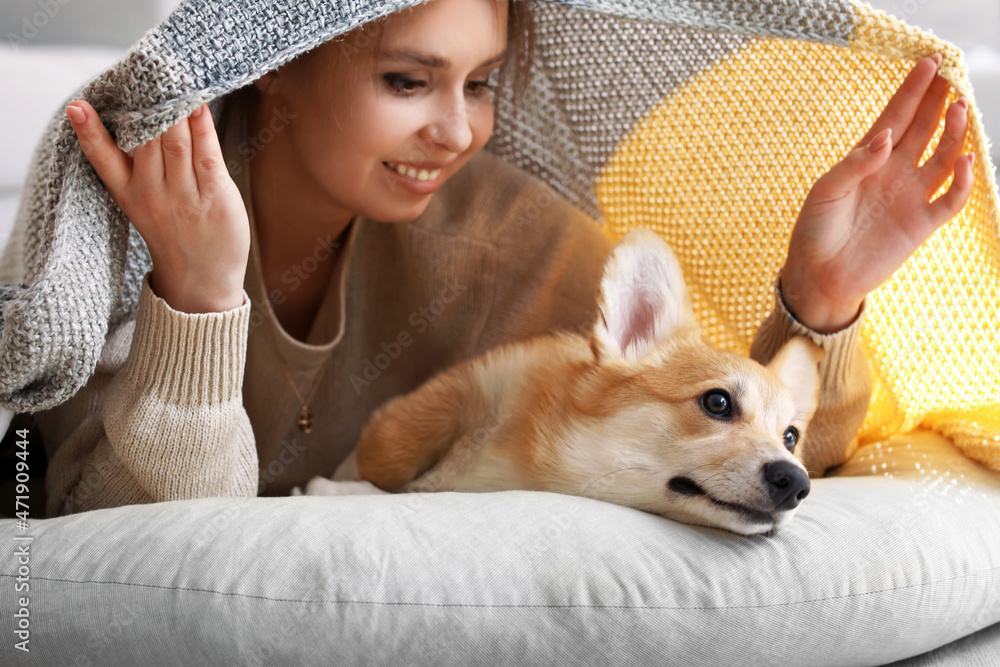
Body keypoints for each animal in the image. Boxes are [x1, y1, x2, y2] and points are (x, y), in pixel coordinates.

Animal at [292, 230, 824, 536]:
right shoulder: (471, 385)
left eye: (790, 437)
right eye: (717, 402)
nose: (797, 483)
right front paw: (338, 487)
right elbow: (389, 454)